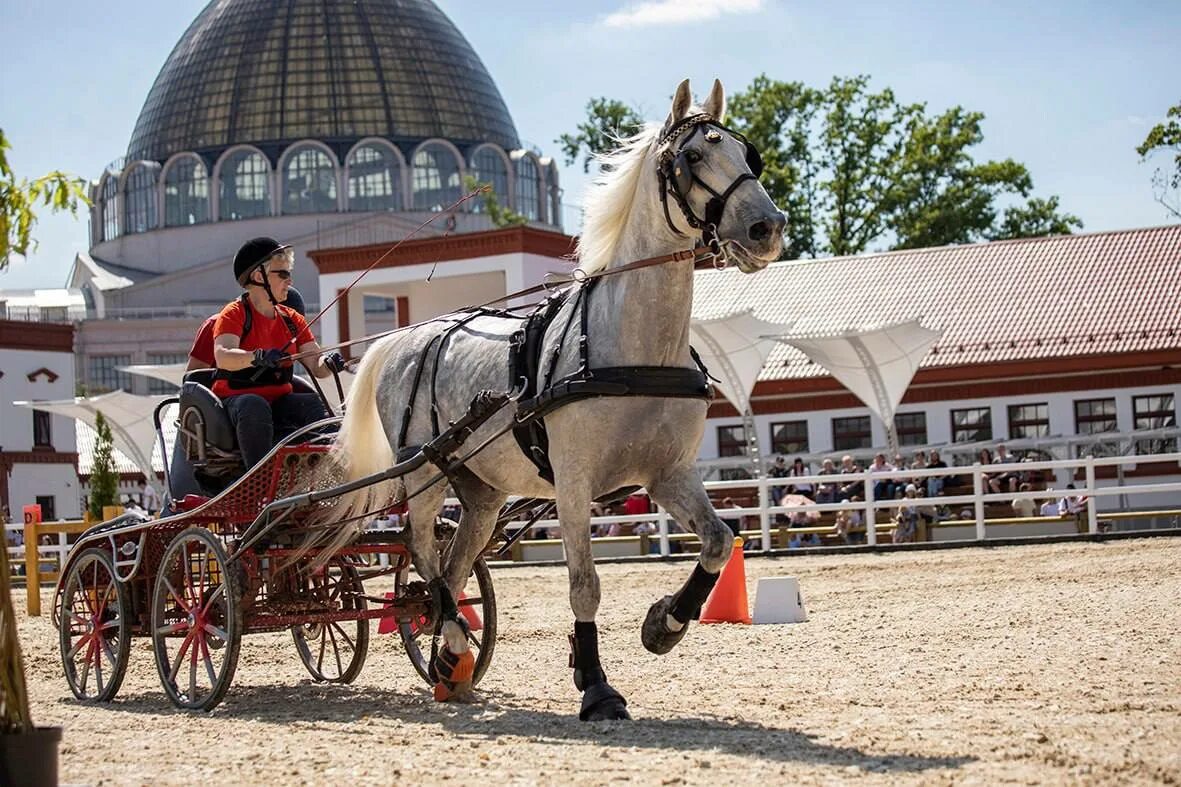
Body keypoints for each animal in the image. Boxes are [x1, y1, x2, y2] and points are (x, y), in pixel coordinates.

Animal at [323, 79, 784, 718]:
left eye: (747, 155)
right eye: (692, 157)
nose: (767, 227)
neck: (630, 347)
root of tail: (404, 338)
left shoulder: (668, 472)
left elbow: (718, 542)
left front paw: (664, 623)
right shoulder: (573, 481)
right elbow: (584, 585)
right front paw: (596, 685)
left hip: (482, 491)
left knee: (454, 563)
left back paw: (449, 660)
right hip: (423, 474)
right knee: (421, 550)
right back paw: (451, 637)